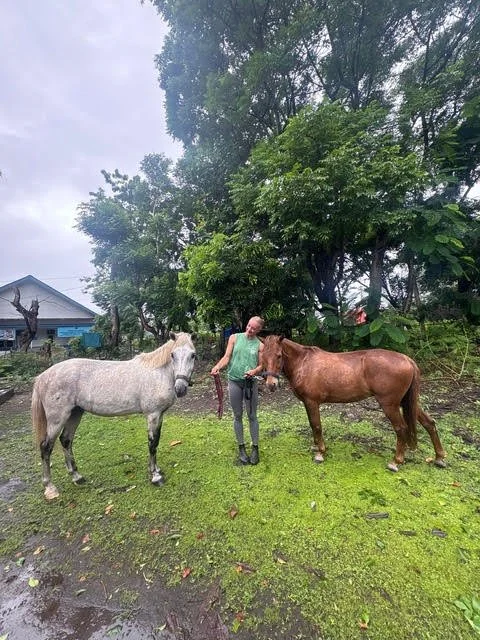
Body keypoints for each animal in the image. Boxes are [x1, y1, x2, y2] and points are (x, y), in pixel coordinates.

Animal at [32, 332, 196, 500]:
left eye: (193, 355)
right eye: (172, 355)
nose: (180, 389)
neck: (158, 373)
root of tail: (43, 377)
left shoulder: (160, 415)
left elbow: (156, 442)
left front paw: (156, 470)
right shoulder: (153, 415)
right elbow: (152, 444)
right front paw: (155, 477)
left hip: (75, 413)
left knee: (66, 441)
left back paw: (77, 477)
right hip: (57, 419)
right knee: (46, 447)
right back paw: (50, 487)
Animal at [261, 335, 446, 472]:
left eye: (279, 356)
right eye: (262, 357)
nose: (271, 384)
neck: (304, 363)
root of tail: (407, 360)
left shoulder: (312, 402)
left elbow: (316, 425)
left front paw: (320, 452)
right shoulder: (307, 403)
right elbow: (312, 425)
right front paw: (316, 447)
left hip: (390, 405)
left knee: (401, 428)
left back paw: (396, 461)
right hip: (407, 402)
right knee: (429, 423)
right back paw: (439, 458)